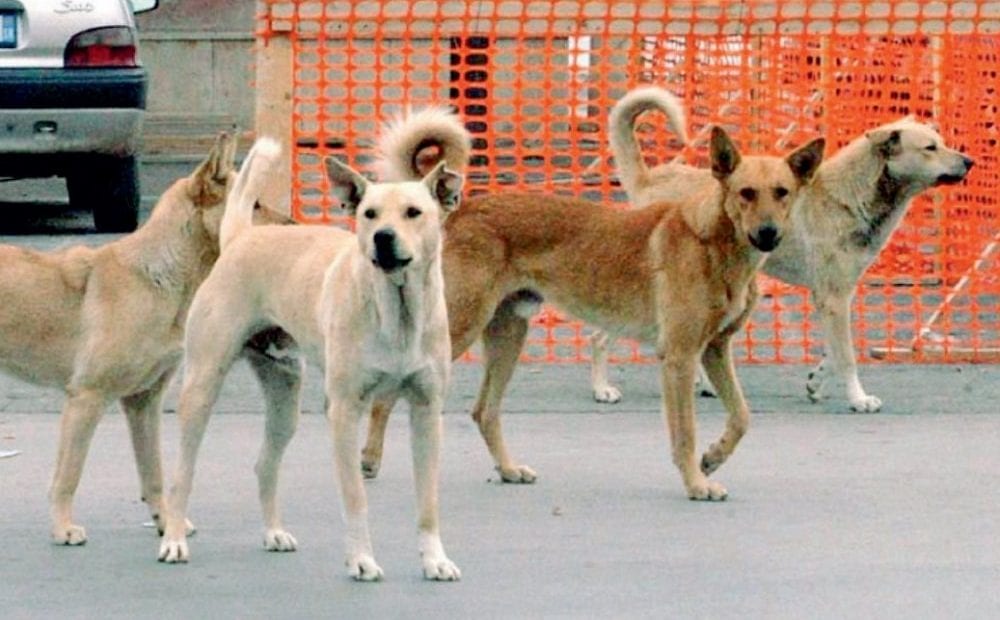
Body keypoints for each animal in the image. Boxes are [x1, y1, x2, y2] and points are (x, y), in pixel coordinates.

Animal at [0, 133, 292, 544]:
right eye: (254, 205)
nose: (295, 225)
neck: (155, 276)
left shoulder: (144, 403)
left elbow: (154, 474)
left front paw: (167, 522)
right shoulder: (85, 400)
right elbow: (68, 476)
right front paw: (62, 528)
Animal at [156, 106, 468, 580]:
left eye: (414, 212)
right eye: (369, 214)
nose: (383, 238)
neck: (395, 311)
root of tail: (242, 237)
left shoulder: (427, 412)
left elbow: (428, 501)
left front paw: (435, 560)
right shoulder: (344, 412)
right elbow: (355, 497)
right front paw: (361, 559)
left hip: (285, 400)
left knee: (264, 464)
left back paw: (274, 533)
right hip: (202, 388)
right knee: (181, 475)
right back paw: (174, 539)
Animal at [364, 120, 824, 498]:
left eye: (782, 193)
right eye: (746, 193)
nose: (768, 234)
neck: (712, 241)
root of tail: (462, 209)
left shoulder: (714, 350)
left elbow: (742, 417)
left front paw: (713, 457)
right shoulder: (679, 358)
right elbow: (685, 434)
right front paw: (696, 482)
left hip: (508, 336)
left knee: (484, 412)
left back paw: (509, 470)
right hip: (460, 327)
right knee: (389, 397)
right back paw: (368, 459)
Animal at [592, 83, 976, 412]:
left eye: (941, 142)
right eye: (930, 148)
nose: (970, 161)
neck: (850, 197)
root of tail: (647, 181)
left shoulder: (835, 296)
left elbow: (833, 353)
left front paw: (815, 383)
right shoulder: (834, 297)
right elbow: (847, 356)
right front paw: (859, 399)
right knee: (600, 335)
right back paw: (601, 389)